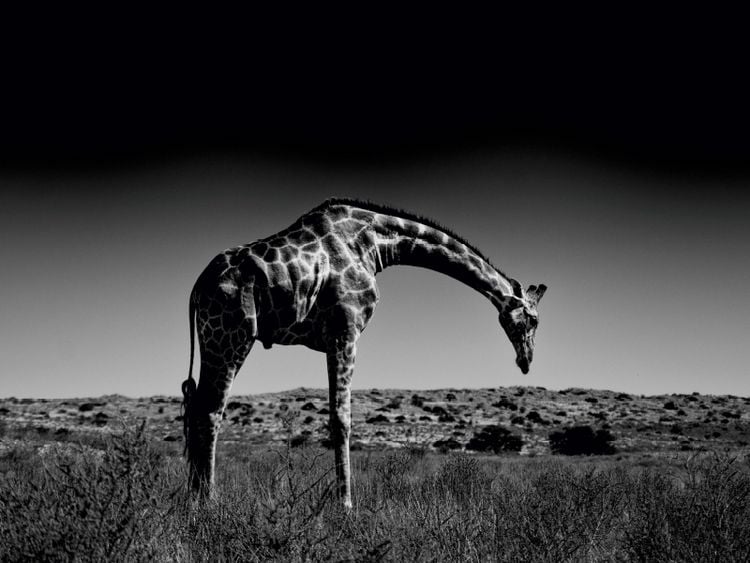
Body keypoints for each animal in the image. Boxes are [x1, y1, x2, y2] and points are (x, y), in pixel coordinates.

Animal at [182, 198, 547, 509]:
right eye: (533, 319)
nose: (526, 361)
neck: (374, 245)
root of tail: (197, 288)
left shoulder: (335, 336)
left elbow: (337, 416)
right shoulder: (346, 331)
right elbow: (341, 419)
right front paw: (345, 505)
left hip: (212, 338)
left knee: (197, 405)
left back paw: (193, 499)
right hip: (231, 336)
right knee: (212, 410)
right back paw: (209, 501)